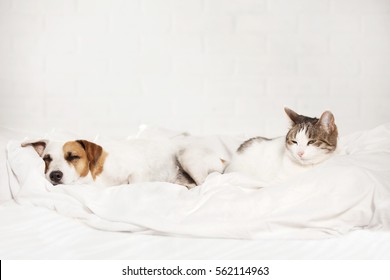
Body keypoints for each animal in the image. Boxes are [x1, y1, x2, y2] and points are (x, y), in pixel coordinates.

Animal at [21, 137, 224, 189]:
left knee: (204, 184)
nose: (54, 175)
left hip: (187, 155)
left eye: (73, 156)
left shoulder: (137, 171)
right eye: (46, 159)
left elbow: (133, 183)